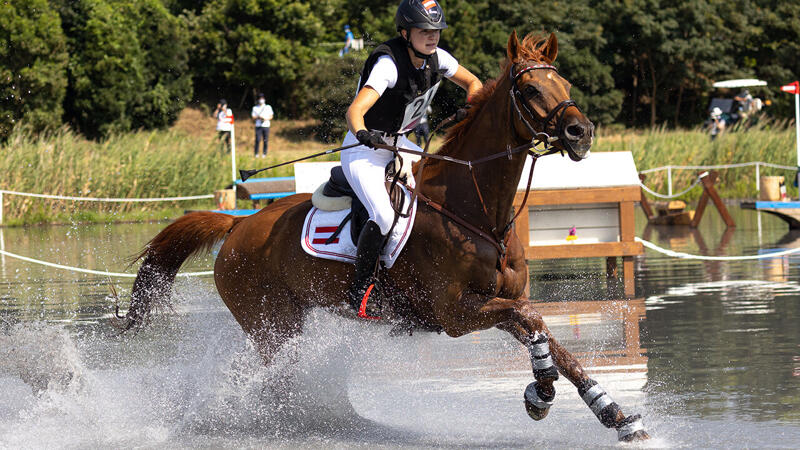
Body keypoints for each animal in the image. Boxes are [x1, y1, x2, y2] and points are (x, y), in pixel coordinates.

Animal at [120, 31, 648, 442]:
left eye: (565, 83)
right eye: (531, 88)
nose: (581, 133)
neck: (478, 213)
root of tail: (237, 224)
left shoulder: (497, 303)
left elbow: (552, 340)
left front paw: (614, 415)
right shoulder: (455, 313)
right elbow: (535, 324)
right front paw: (541, 393)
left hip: (284, 323)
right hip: (271, 325)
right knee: (255, 377)